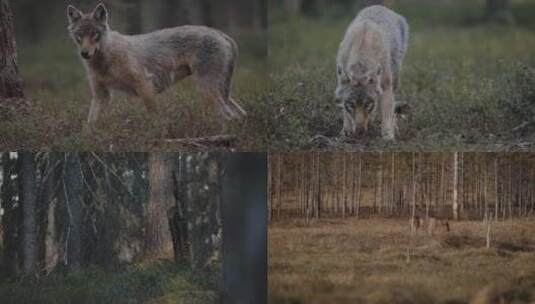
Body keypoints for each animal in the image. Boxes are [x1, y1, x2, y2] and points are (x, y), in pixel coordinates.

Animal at [66, 3, 247, 130]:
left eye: (95, 34)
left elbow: (154, 117)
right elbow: (90, 124)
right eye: (79, 36)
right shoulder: (101, 95)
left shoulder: (145, 85)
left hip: (207, 90)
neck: (105, 60)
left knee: (230, 116)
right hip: (220, 92)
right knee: (240, 114)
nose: (85, 53)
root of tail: (220, 33)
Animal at [336, 5, 410, 140]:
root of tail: (381, 6)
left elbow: (387, 113)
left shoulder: (386, 87)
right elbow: (346, 113)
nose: (359, 131)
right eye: (352, 105)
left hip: (395, 80)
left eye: (367, 105)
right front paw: (346, 131)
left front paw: (388, 136)